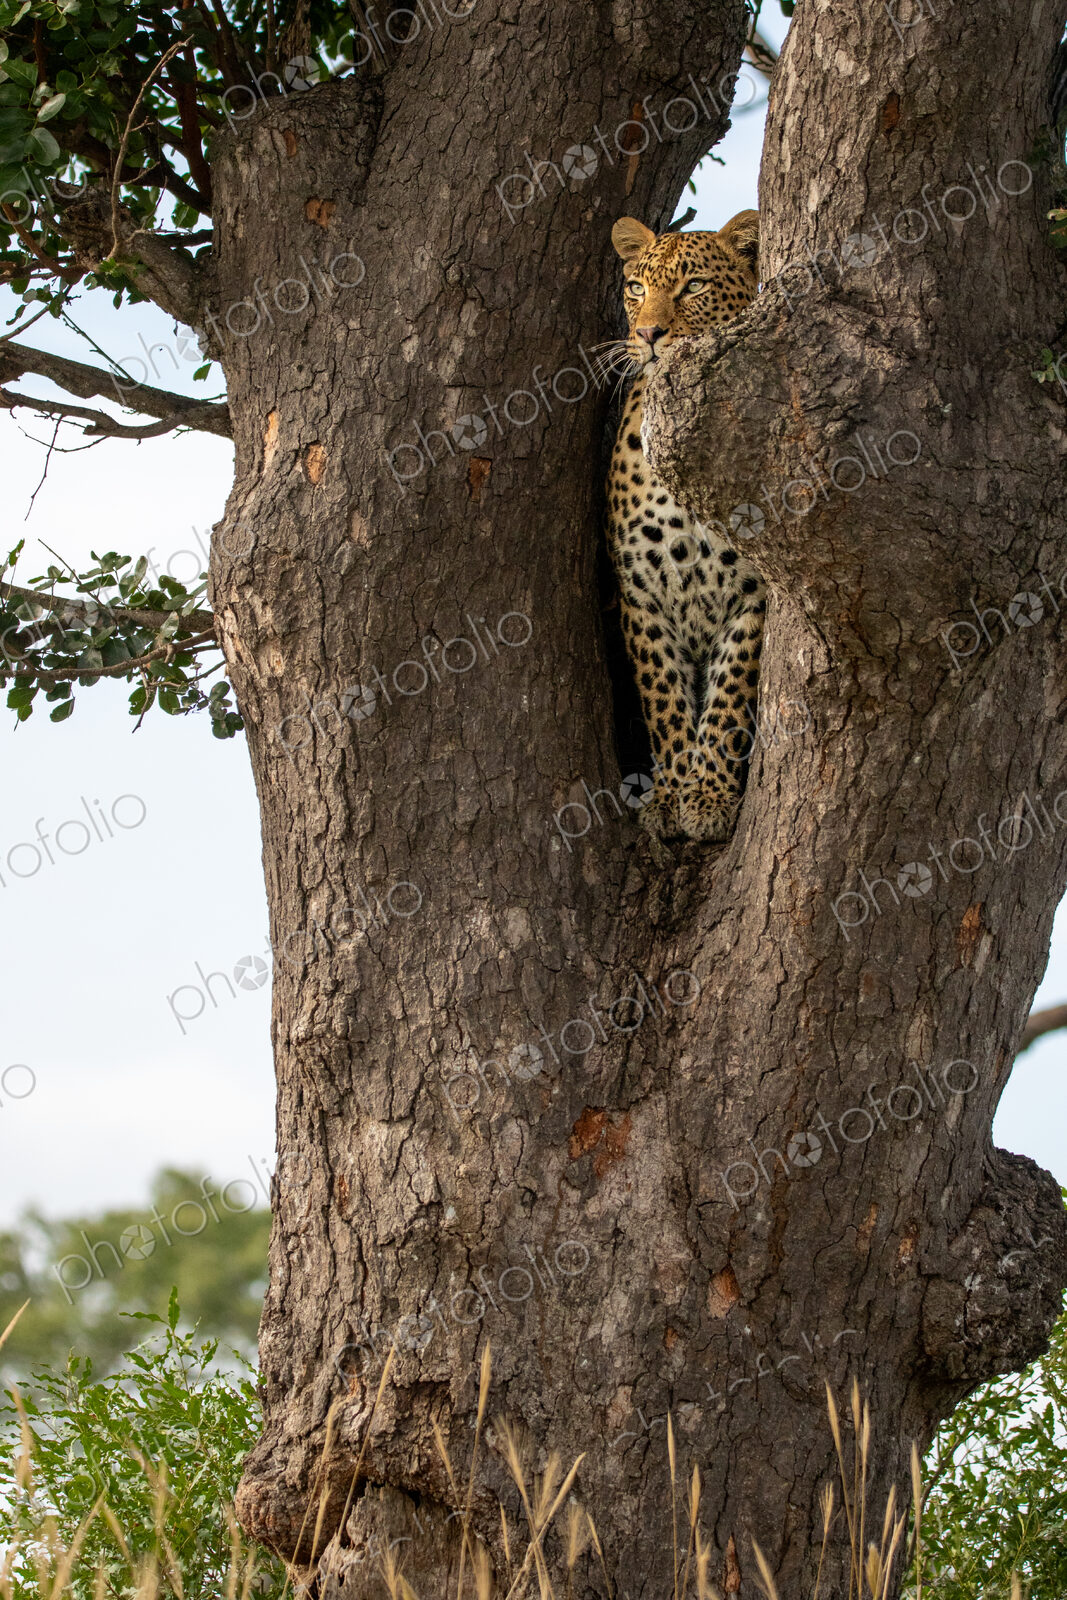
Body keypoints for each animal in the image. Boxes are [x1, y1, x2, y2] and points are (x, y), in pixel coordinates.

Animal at [604, 210, 764, 844]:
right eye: (636, 287)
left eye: (693, 286)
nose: (649, 334)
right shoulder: (641, 594)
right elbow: (665, 697)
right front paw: (673, 794)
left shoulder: (754, 595)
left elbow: (727, 699)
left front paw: (710, 796)